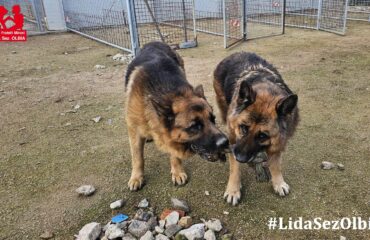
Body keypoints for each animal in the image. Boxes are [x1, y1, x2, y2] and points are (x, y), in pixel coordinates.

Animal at [125, 41, 228, 191]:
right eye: (195, 126)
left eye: (213, 119)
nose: (225, 142)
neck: (169, 93)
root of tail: (154, 42)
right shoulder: (134, 131)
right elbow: (137, 157)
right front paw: (136, 177)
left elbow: (174, 153)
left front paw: (177, 171)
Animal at [212, 52, 300, 204]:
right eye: (243, 127)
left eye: (262, 136)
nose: (240, 158)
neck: (267, 91)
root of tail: (235, 53)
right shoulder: (233, 139)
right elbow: (234, 168)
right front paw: (233, 190)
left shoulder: (277, 143)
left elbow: (275, 165)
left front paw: (278, 182)